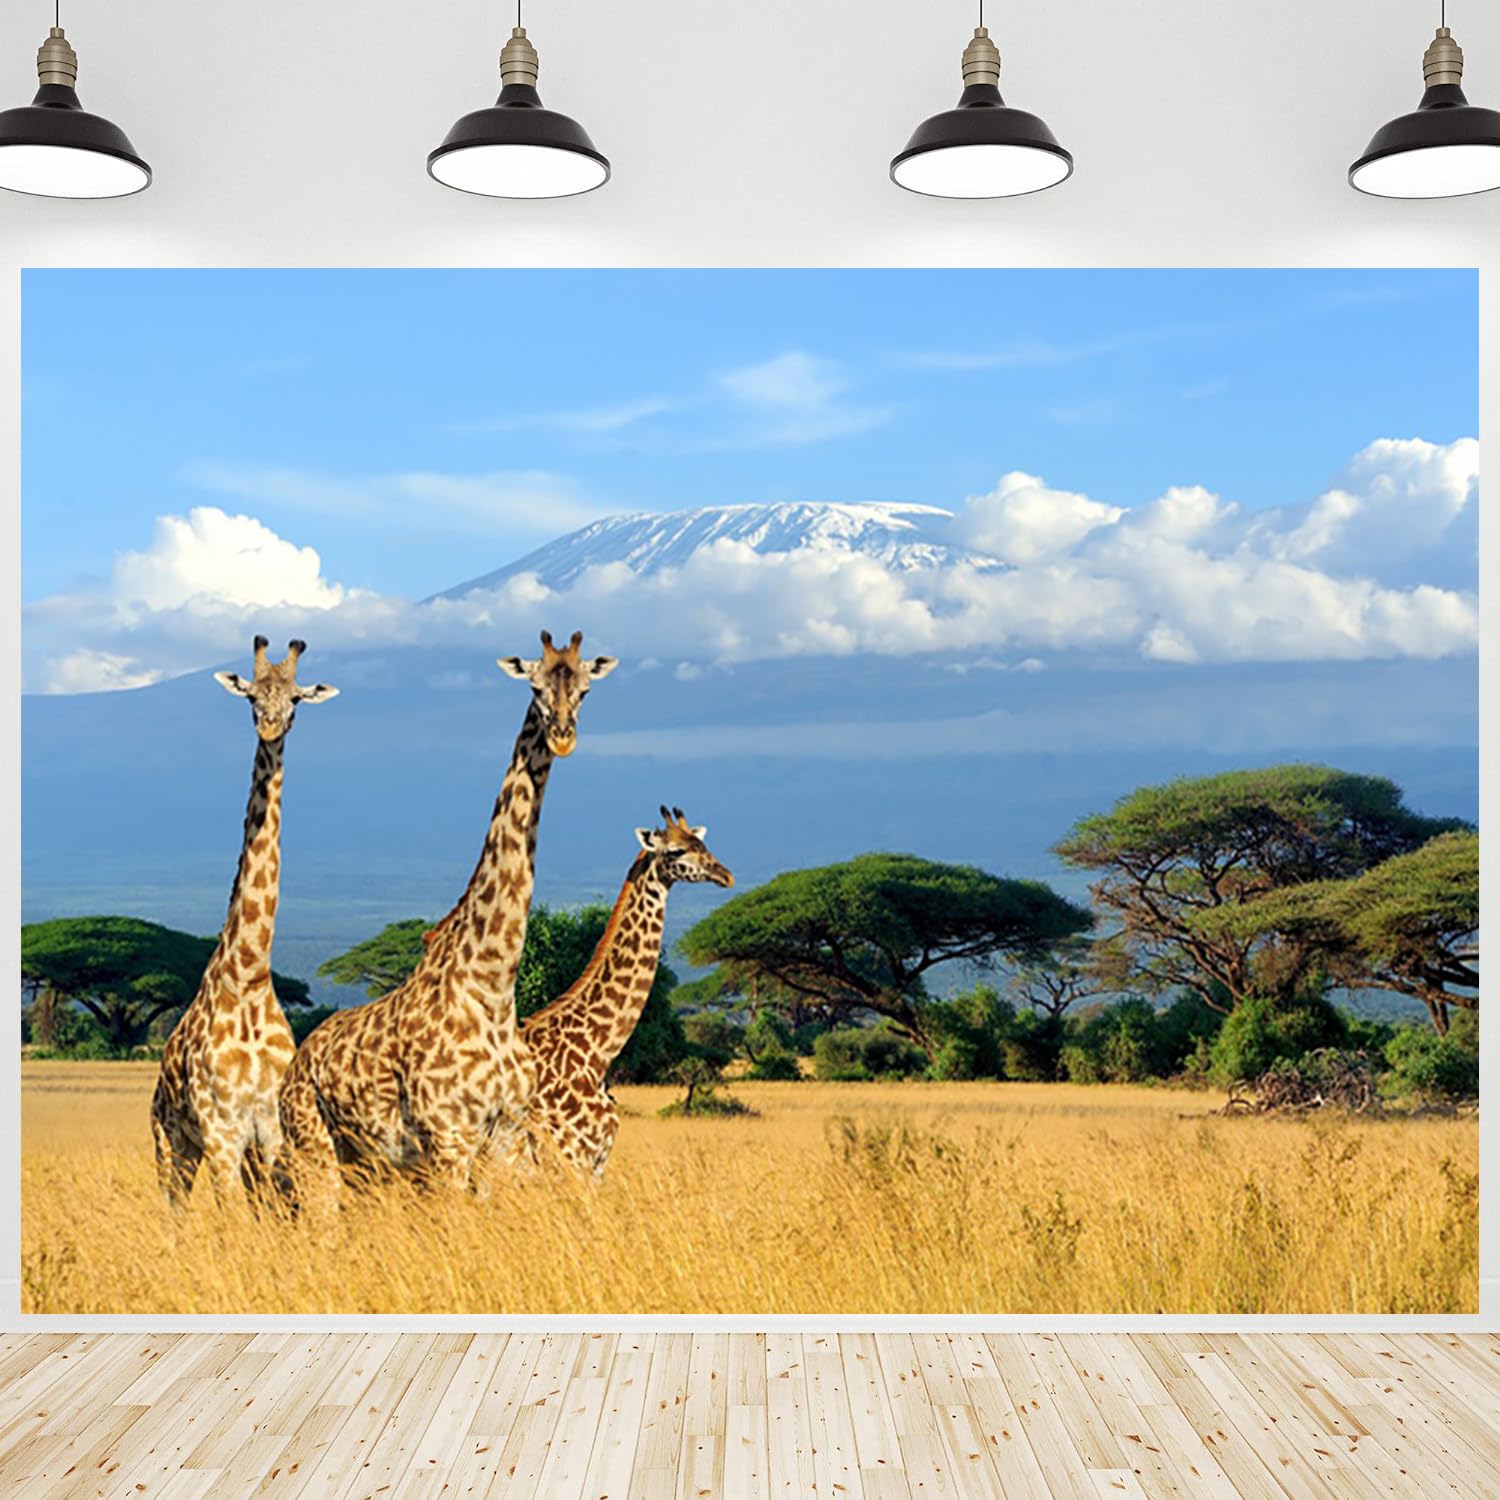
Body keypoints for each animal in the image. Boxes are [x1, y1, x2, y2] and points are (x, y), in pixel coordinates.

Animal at [150, 636, 340, 1209]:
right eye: (252, 696)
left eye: (296, 699)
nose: (271, 727)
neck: (250, 975)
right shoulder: (221, 1131)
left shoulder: (270, 1131)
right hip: (170, 1143)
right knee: (173, 1209)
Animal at [275, 629, 616, 1210]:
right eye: (534, 686)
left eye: (586, 689)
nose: (563, 737)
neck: (493, 986)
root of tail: (297, 1062)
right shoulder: (449, 1139)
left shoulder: (505, 1137)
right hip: (312, 1145)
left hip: (364, 1162)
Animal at [515, 806, 733, 1178]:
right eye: (675, 851)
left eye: (702, 843)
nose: (726, 875)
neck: (596, 1051)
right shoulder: (574, 1158)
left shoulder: (595, 1163)